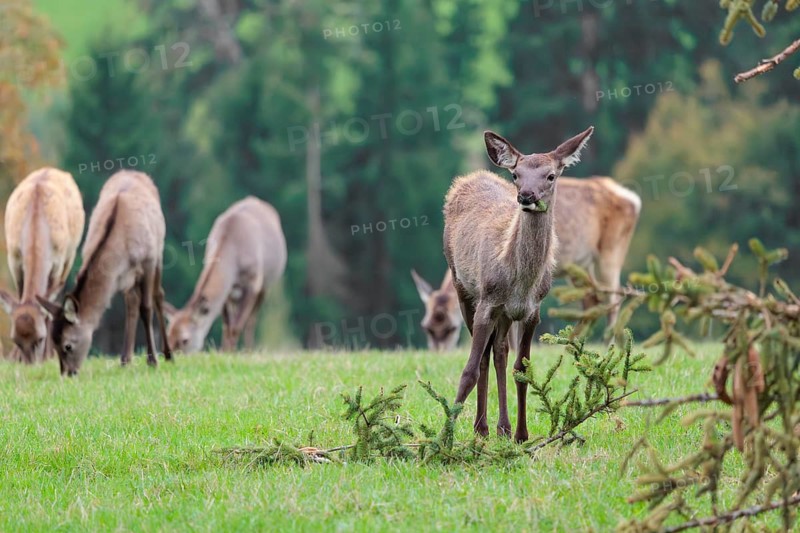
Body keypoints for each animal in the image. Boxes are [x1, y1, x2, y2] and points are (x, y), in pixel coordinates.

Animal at [0, 167, 85, 363]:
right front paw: (15, 358)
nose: (30, 364)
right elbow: (20, 295)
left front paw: (48, 356)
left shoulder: (57, 262)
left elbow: (47, 304)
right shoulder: (14, 259)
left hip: (70, 255)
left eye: (40, 338)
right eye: (15, 340)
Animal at [37, 170, 172, 376]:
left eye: (68, 345)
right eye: (53, 343)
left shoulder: (148, 261)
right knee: (132, 302)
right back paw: (125, 359)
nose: (67, 374)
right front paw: (130, 360)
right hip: (129, 278)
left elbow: (146, 308)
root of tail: (134, 172)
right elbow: (134, 306)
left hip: (159, 249)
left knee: (158, 295)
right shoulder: (119, 274)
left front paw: (153, 361)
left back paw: (168, 355)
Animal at [163, 196, 287, 353]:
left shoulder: (253, 283)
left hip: (266, 284)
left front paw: (232, 354)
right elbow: (227, 326)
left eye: (185, 340)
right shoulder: (227, 291)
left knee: (251, 320)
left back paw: (249, 350)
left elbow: (237, 326)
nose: (172, 355)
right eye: (168, 335)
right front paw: (225, 352)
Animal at [415, 175, 641, 351]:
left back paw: (608, 347)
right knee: (592, 299)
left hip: (611, 251)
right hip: (580, 265)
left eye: (451, 328)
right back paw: (572, 344)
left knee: (613, 296)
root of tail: (634, 199)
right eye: (426, 327)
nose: (440, 354)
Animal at [444, 126, 594, 443]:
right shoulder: (487, 301)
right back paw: (482, 427)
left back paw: (502, 427)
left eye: (551, 175)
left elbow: (521, 369)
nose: (526, 195)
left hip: (504, 314)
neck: (520, 283)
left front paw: (522, 435)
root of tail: (469, 177)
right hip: (462, 287)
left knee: (499, 351)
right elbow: (469, 370)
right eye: (516, 174)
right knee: (485, 356)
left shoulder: (532, 311)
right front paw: (443, 436)